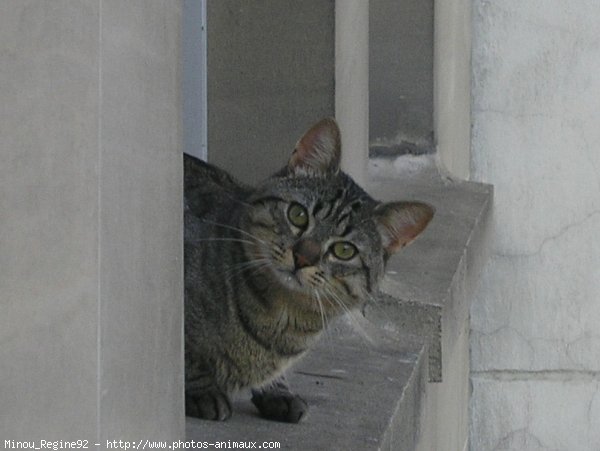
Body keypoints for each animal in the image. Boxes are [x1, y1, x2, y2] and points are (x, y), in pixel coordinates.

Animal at [185, 117, 434, 424]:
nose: (302, 257)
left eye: (344, 250)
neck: (281, 316)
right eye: (298, 215)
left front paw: (277, 391)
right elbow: (186, 354)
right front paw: (202, 390)